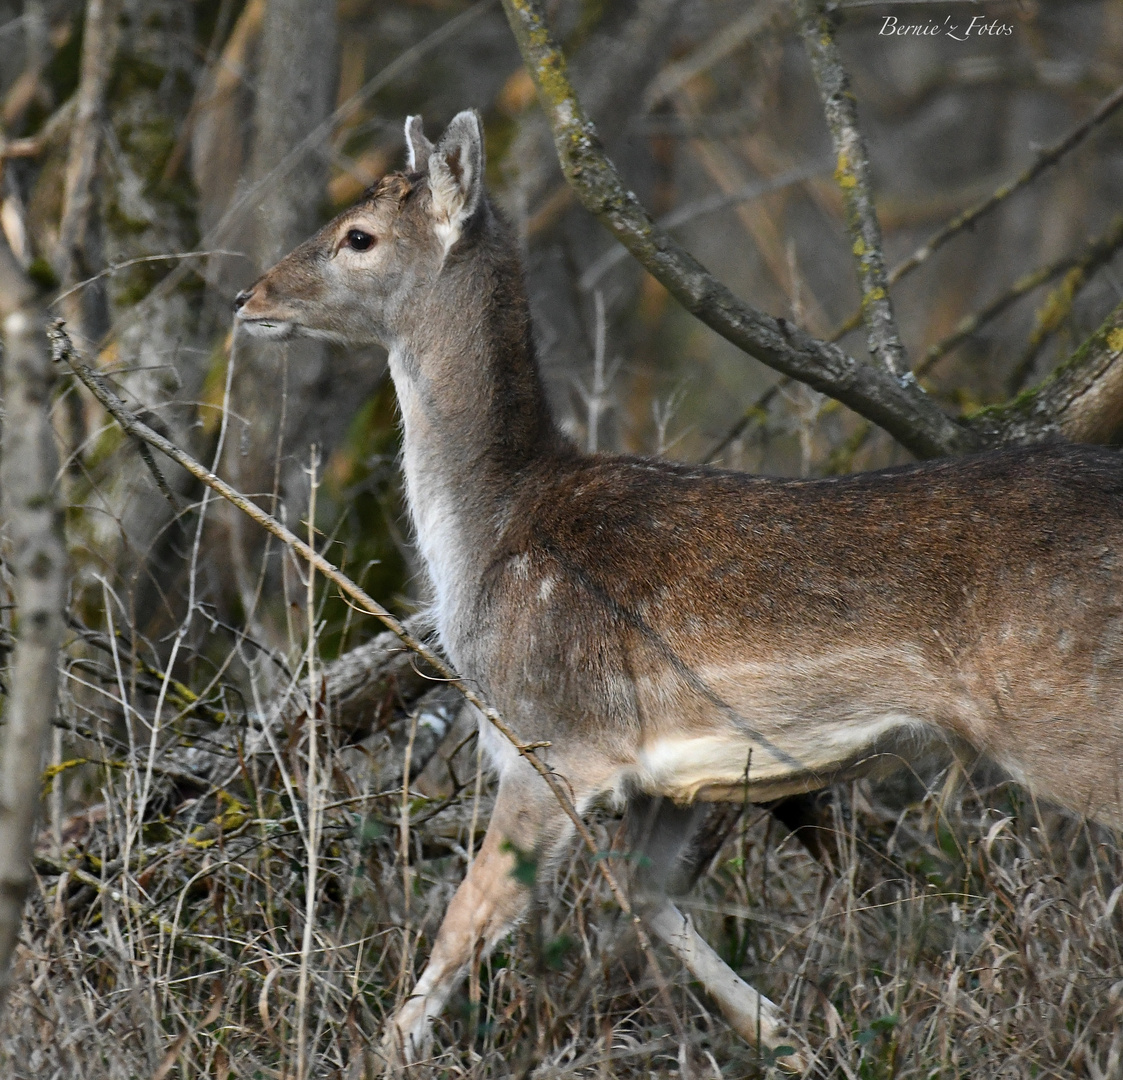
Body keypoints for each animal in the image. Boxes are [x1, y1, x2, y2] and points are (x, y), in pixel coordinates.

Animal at [234, 111, 1123, 1068]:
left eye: (357, 236)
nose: (247, 298)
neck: (488, 539)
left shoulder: (553, 738)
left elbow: (467, 920)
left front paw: (376, 1055)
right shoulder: (654, 777)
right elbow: (644, 897)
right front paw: (785, 1038)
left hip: (1067, 711)